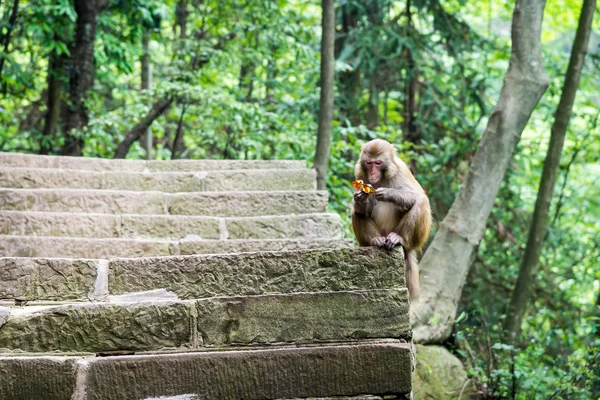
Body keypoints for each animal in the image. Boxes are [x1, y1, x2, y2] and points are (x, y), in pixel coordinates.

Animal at [352, 140, 432, 300]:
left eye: (378, 163)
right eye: (369, 163)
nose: (372, 173)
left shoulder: (401, 170)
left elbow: (418, 195)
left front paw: (390, 193)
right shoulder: (360, 174)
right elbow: (364, 210)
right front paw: (360, 199)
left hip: (410, 238)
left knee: (421, 202)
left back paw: (399, 238)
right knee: (356, 213)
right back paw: (375, 240)